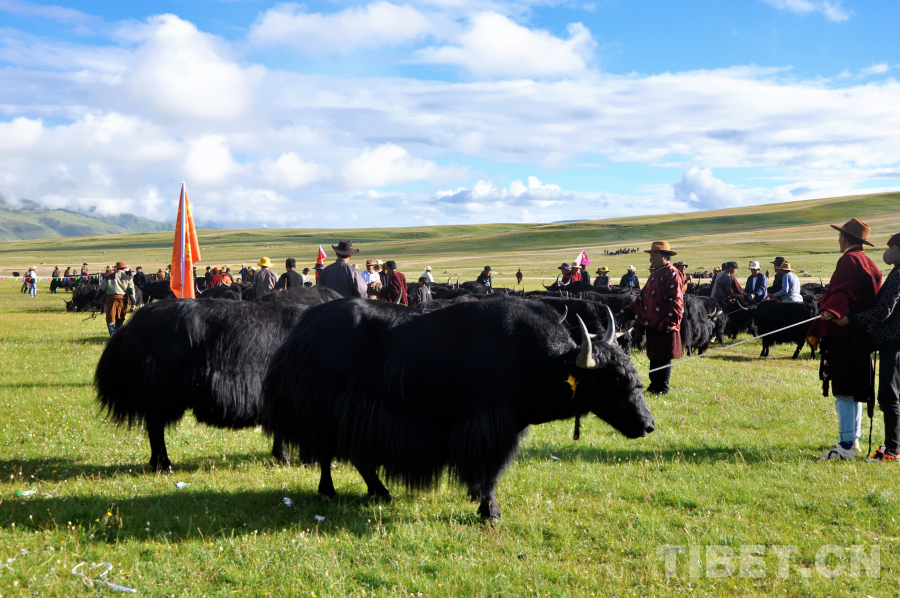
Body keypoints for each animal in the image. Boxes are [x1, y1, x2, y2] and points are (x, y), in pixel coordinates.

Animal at [262, 296, 654, 521]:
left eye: (633, 374)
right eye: (612, 379)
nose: (648, 425)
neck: (538, 361)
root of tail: (305, 326)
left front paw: (477, 497)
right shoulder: (490, 422)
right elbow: (491, 468)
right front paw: (489, 511)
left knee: (358, 456)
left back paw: (381, 492)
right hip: (323, 409)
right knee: (327, 451)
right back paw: (329, 491)